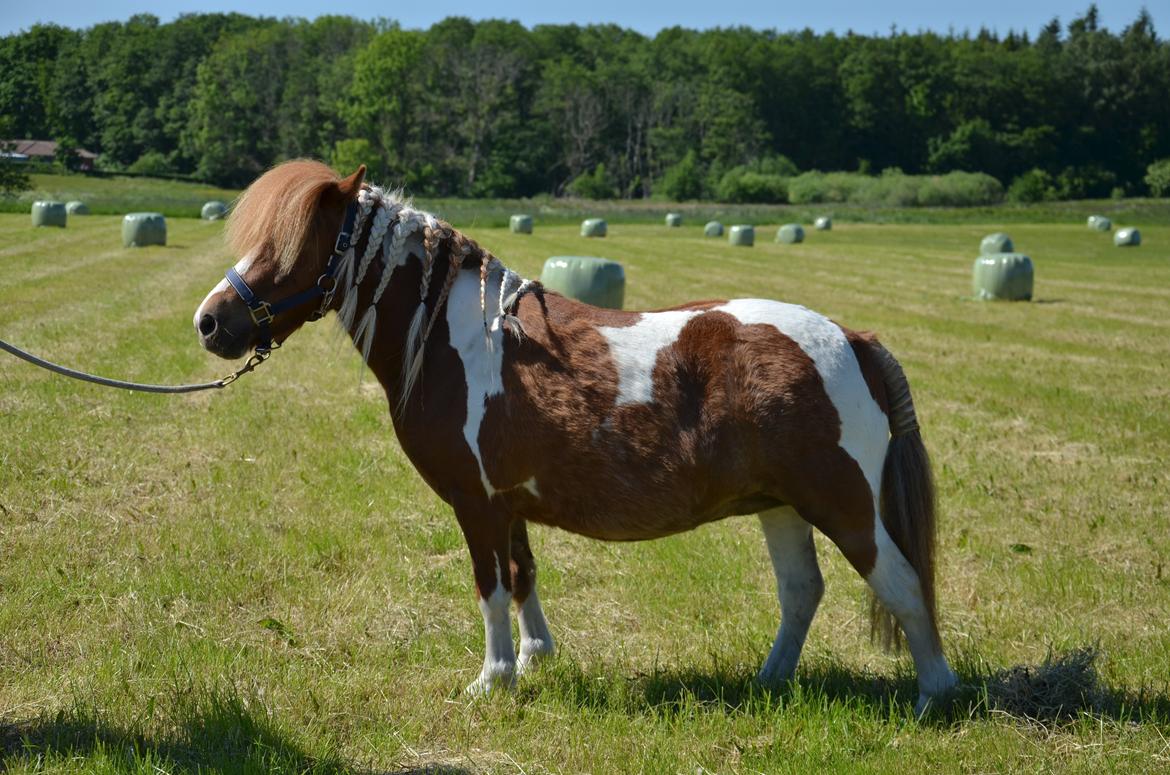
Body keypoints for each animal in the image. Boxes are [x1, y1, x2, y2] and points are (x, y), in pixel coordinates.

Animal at [194, 162, 959, 716]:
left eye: (291, 247)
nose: (210, 321)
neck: (452, 341)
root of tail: (852, 338)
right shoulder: (509, 504)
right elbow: (523, 575)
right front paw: (536, 657)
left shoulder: (477, 503)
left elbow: (490, 586)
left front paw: (493, 679)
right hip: (781, 505)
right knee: (802, 590)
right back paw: (769, 682)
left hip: (843, 503)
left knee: (901, 582)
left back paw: (934, 695)